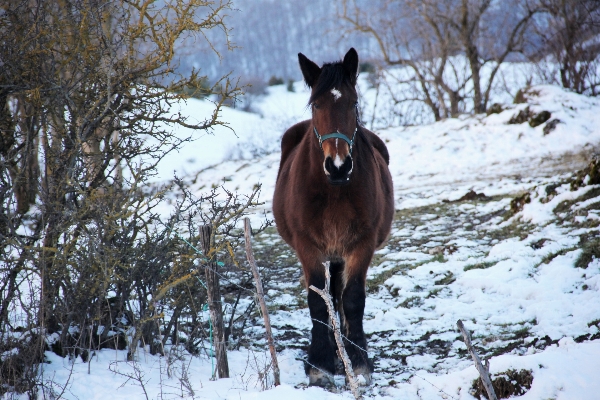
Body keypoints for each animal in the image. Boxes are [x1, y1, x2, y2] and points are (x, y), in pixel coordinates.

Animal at [272, 48, 394, 386]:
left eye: (353, 102)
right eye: (316, 104)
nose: (338, 166)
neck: (334, 190)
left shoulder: (362, 244)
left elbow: (352, 299)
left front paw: (358, 360)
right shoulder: (308, 247)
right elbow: (317, 302)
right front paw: (320, 364)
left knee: (339, 296)